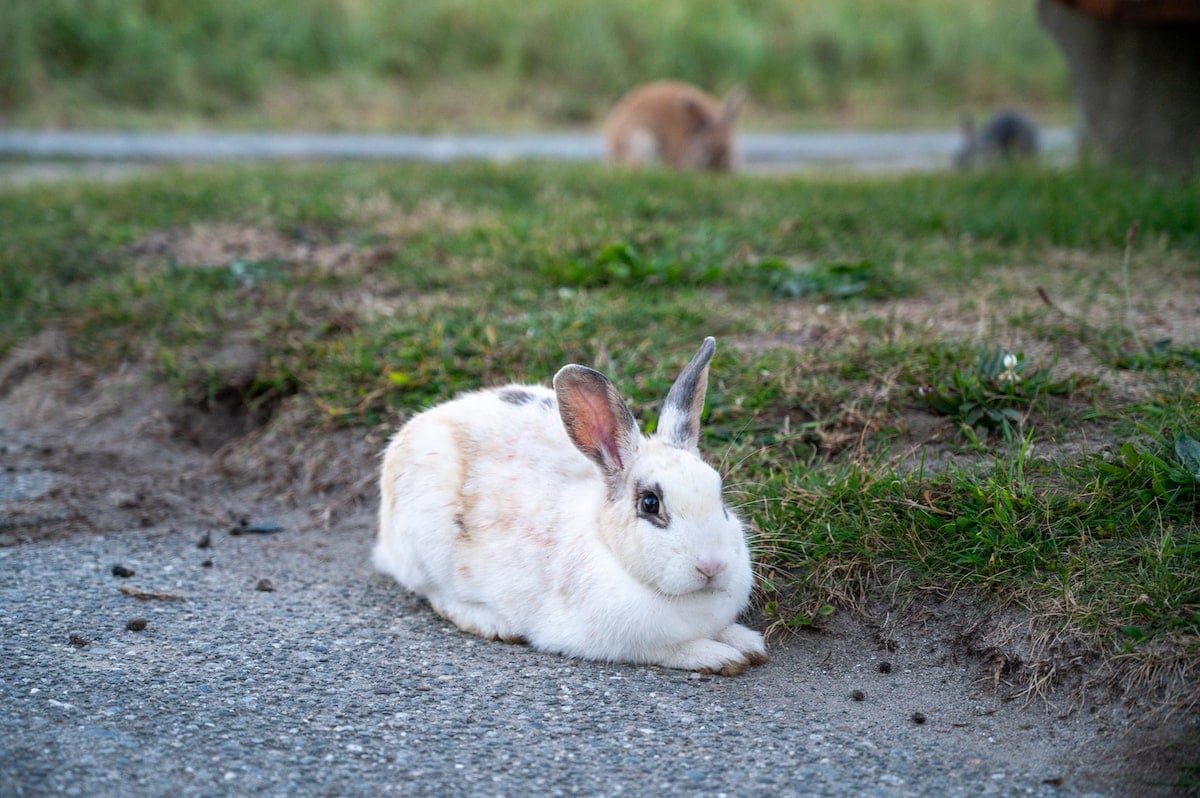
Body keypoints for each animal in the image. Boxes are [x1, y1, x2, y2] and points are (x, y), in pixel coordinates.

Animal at [376, 336, 768, 672]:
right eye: (650, 504)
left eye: (721, 497)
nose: (713, 566)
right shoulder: (629, 643)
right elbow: (675, 649)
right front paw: (721, 656)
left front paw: (749, 643)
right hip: (427, 545)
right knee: (437, 595)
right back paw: (496, 624)